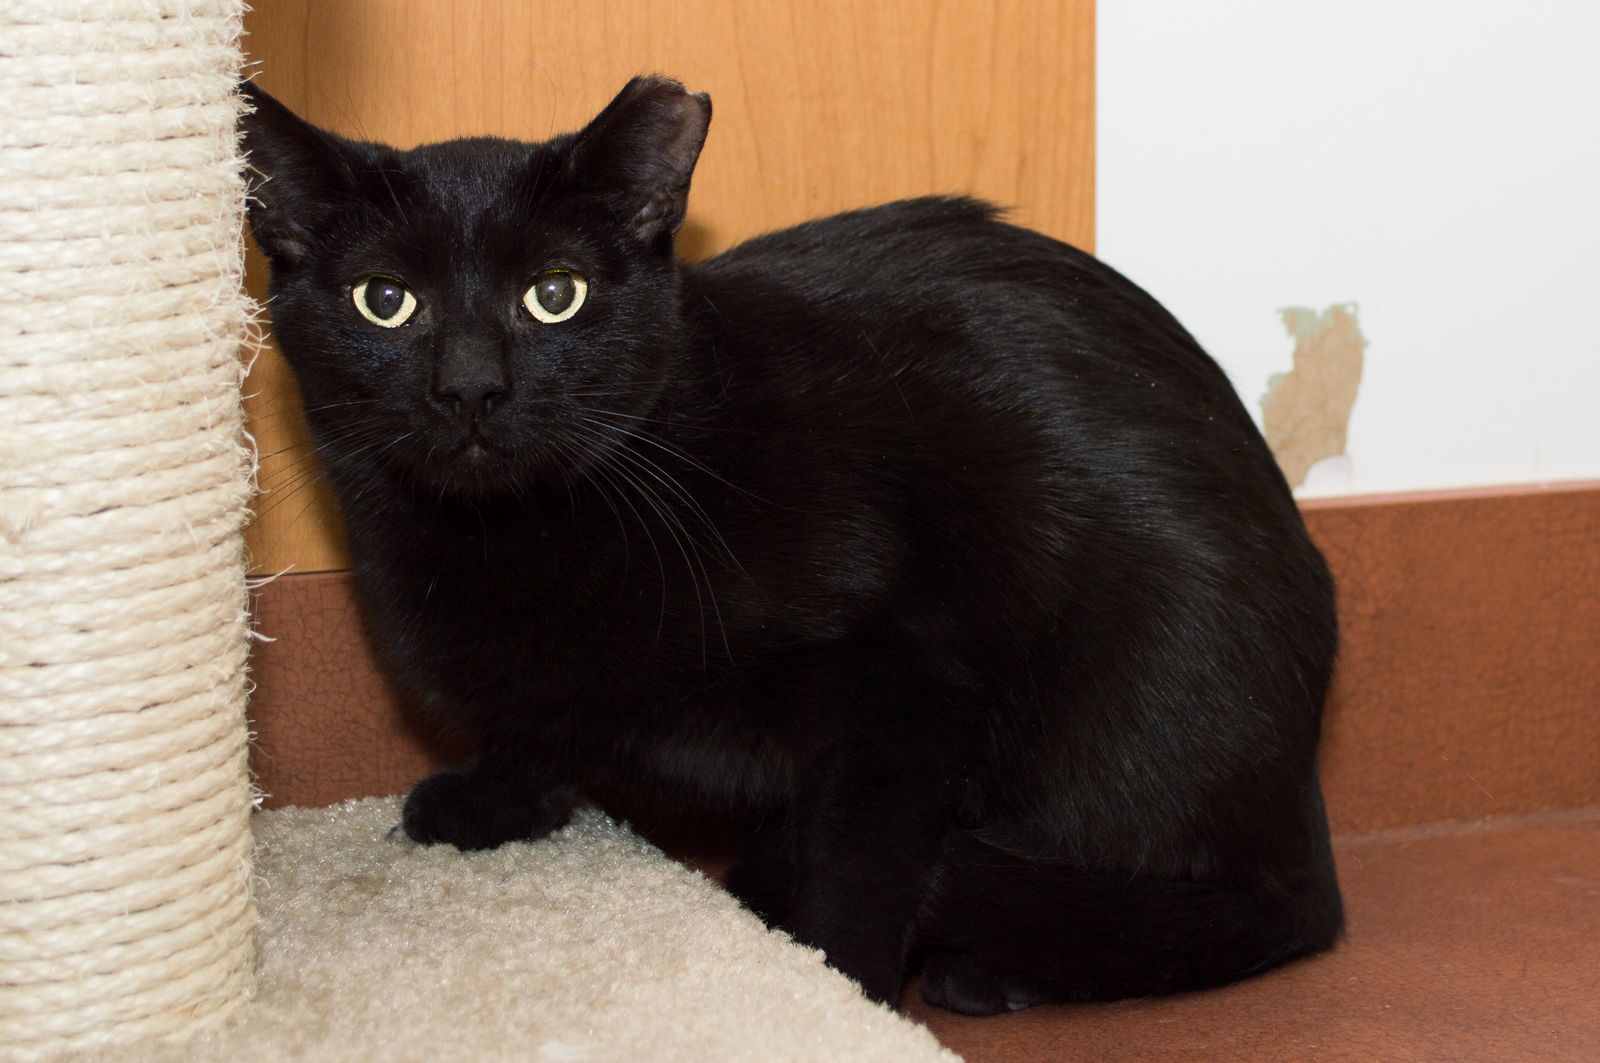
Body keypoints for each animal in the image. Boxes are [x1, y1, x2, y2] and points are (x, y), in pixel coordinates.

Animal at [233, 76, 1337, 1011]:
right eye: (385, 299)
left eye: (556, 293)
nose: (469, 388)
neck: (503, 541)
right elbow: (535, 722)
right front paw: (496, 794)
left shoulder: (902, 682)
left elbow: (861, 861)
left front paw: (834, 988)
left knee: (1264, 912)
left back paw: (994, 968)